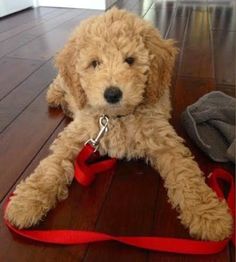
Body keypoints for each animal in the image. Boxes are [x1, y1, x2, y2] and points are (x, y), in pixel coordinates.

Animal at [5, 7, 232, 242]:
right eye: (95, 63)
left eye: (130, 60)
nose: (112, 94)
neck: (116, 118)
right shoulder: (76, 135)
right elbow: (52, 165)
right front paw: (26, 202)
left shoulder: (164, 139)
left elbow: (186, 174)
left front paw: (209, 215)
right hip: (64, 84)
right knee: (59, 84)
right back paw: (59, 98)